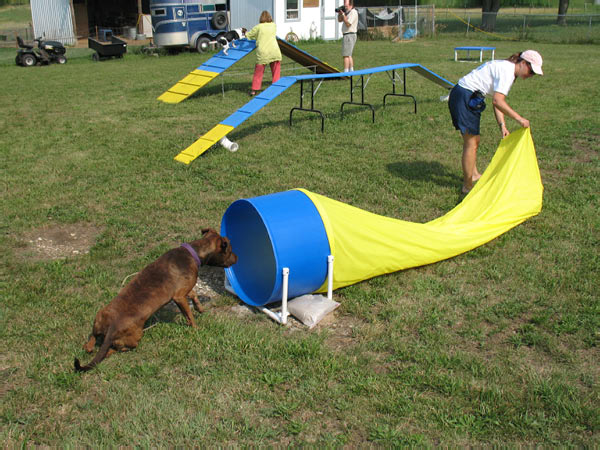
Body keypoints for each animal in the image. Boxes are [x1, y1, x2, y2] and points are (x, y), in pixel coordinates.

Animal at [74, 229, 236, 372]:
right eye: (229, 250)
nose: (237, 258)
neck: (194, 252)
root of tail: (110, 330)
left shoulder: (184, 289)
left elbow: (194, 294)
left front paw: (200, 308)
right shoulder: (179, 296)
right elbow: (189, 315)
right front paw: (196, 328)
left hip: (99, 317)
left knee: (91, 343)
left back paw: (90, 346)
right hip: (135, 337)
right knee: (114, 350)